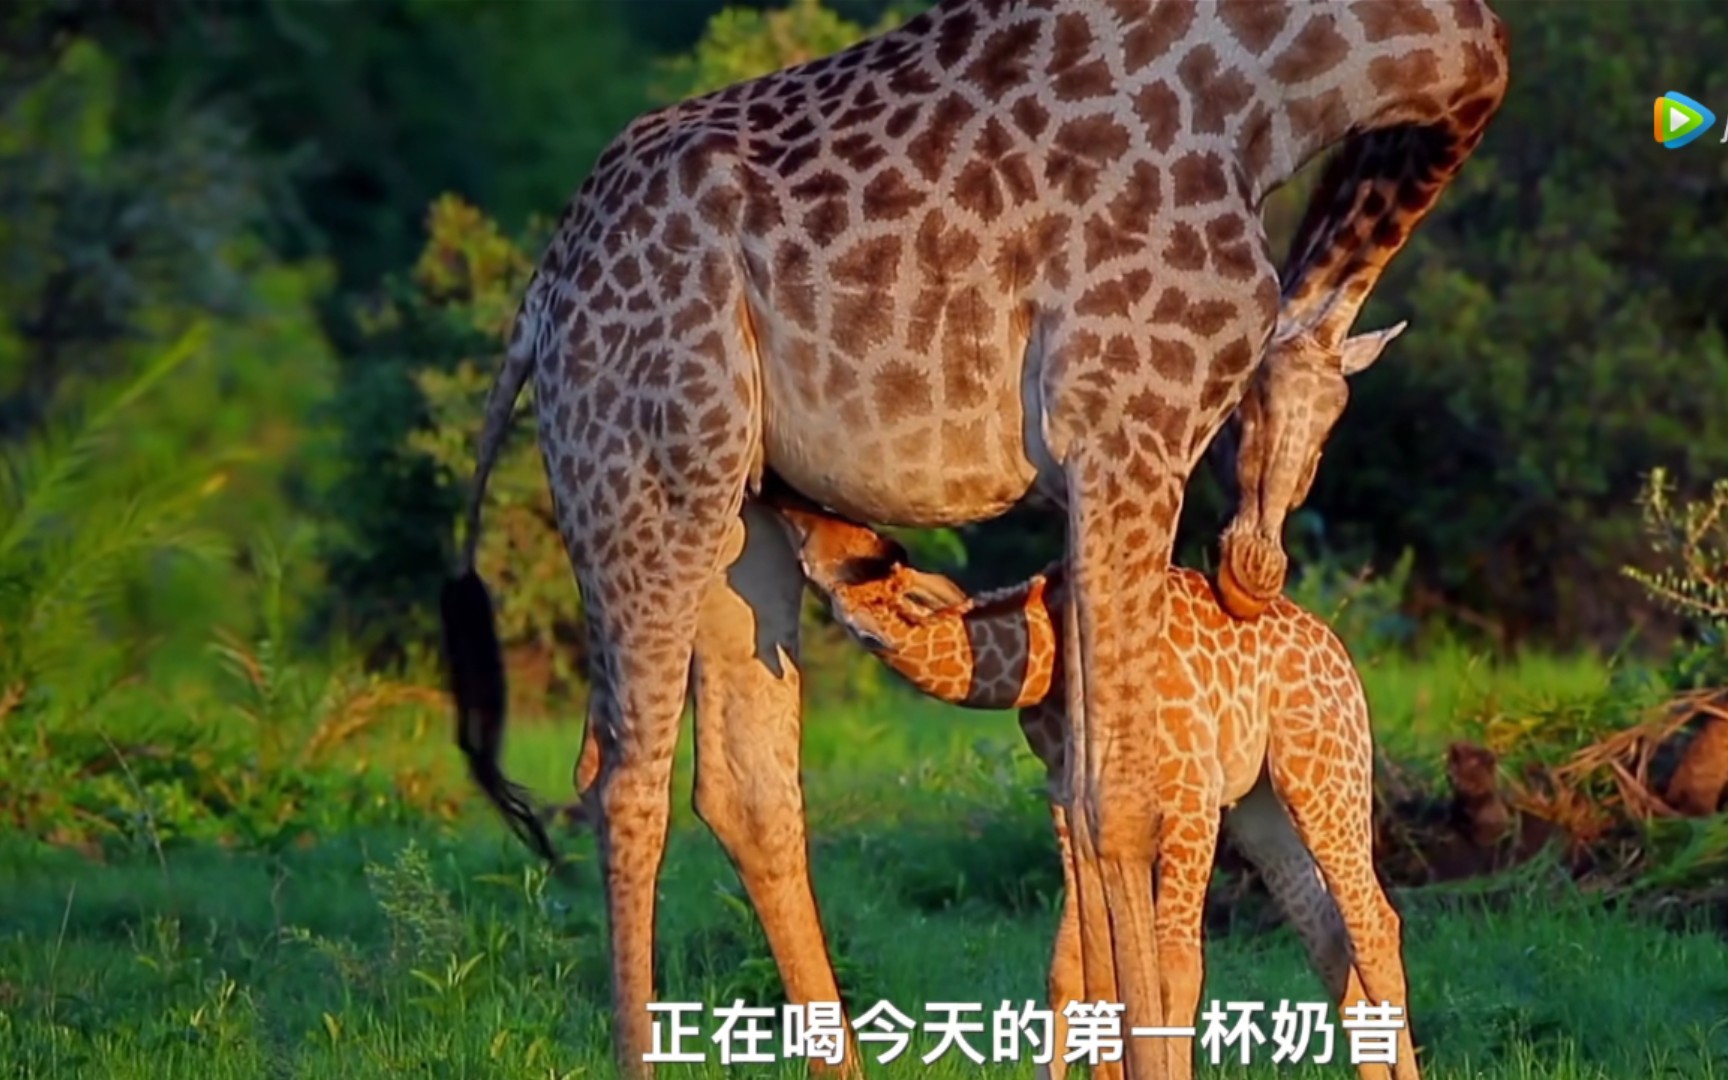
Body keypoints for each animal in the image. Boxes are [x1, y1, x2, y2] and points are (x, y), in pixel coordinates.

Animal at [777, 324, 1410, 1078]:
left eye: (863, 548)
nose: (786, 500)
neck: (1045, 645)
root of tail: (1339, 653)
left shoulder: (1189, 795)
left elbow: (1173, 968)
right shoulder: (1064, 796)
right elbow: (1075, 968)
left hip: (1323, 774)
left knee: (1375, 923)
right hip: (1261, 807)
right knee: (1328, 934)